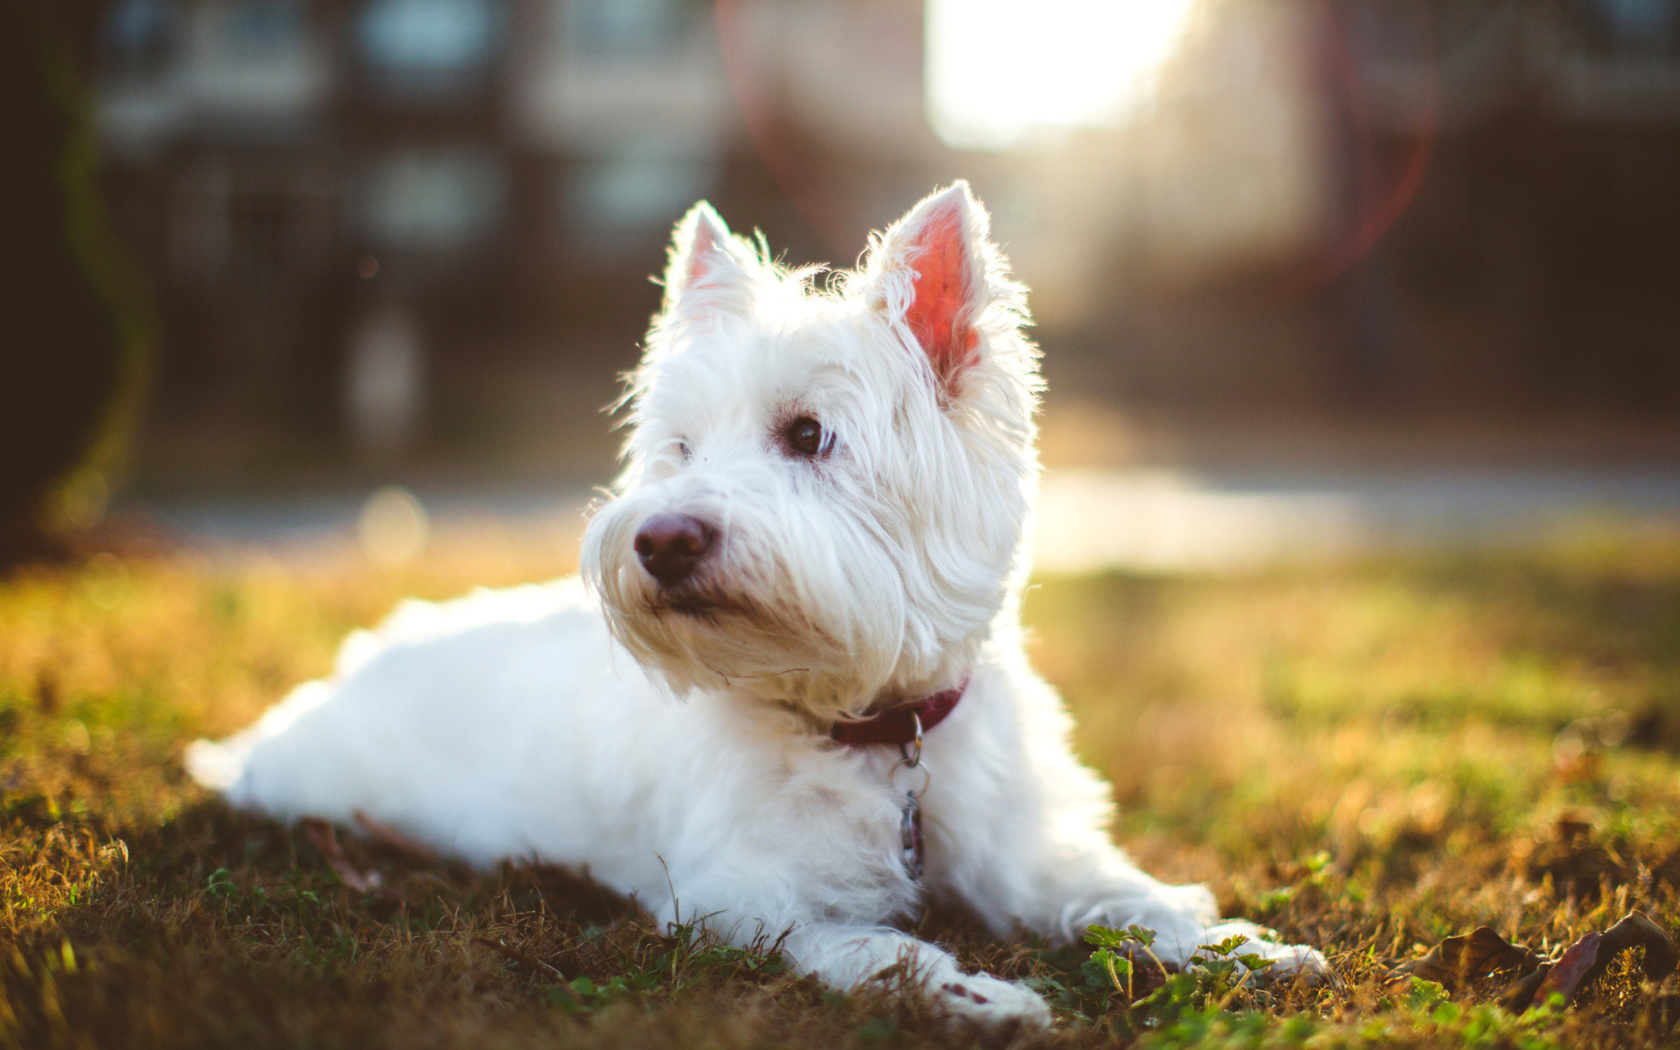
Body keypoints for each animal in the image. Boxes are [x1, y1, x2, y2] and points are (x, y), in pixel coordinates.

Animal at [190, 183, 1323, 1021]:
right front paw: (977, 995)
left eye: (808, 435)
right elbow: (875, 945)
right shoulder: (740, 899)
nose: (660, 539)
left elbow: (1125, 895)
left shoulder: (1027, 853)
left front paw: (1238, 945)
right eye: (681, 448)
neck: (875, 730)